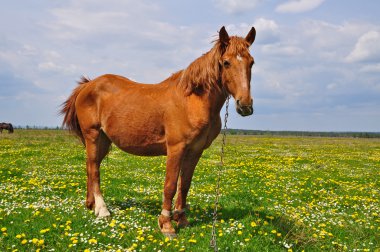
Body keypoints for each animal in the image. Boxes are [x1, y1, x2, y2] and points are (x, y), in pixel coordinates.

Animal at [61, 26, 255, 237]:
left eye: (251, 62)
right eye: (226, 62)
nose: (245, 105)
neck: (191, 100)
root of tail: (87, 85)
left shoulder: (195, 151)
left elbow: (184, 185)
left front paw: (182, 219)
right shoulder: (176, 148)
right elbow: (170, 185)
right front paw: (166, 224)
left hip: (104, 141)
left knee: (91, 165)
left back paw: (91, 205)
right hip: (93, 135)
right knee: (94, 170)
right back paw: (102, 209)